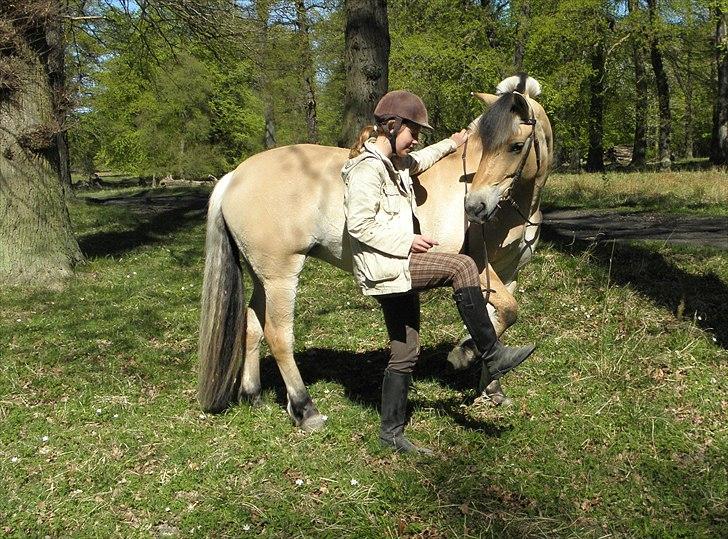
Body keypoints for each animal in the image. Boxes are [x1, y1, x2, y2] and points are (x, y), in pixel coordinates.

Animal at [198, 75, 552, 430]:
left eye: (515, 146)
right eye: (489, 145)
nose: (475, 207)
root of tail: (234, 177)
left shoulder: (508, 273)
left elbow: (498, 317)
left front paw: (492, 387)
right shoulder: (477, 266)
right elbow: (507, 312)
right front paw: (463, 352)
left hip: (264, 277)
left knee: (252, 326)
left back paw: (252, 394)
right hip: (281, 277)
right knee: (278, 335)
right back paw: (305, 408)